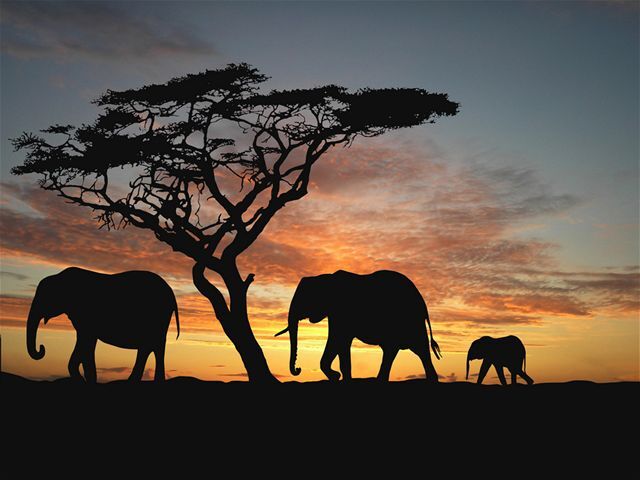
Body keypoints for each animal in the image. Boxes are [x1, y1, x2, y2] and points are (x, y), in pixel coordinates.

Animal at [26, 267, 180, 383]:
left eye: (44, 297)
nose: (42, 348)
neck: (59, 276)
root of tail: (171, 293)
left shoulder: (86, 315)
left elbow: (86, 342)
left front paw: (86, 380)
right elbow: (85, 343)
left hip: (157, 317)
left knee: (154, 346)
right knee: (150, 347)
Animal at [275, 270, 442, 382]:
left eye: (304, 299)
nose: (298, 369)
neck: (325, 277)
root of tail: (422, 302)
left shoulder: (341, 312)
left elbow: (338, 339)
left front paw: (338, 377)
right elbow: (338, 342)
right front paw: (338, 377)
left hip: (410, 320)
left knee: (417, 349)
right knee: (401, 350)